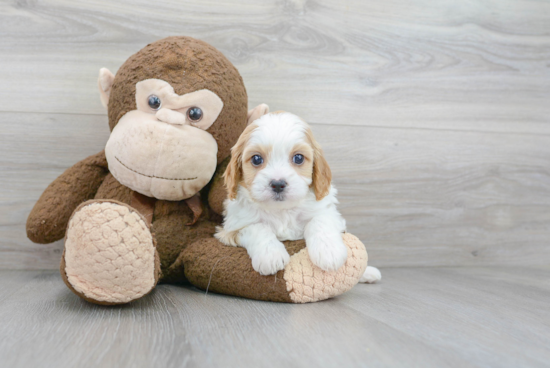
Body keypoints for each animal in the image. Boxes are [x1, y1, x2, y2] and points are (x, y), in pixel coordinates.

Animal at [217, 108, 384, 282]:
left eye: (298, 158)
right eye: (256, 159)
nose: (278, 184)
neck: (281, 210)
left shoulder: (327, 211)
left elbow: (319, 221)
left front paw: (329, 252)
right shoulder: (231, 228)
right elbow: (256, 227)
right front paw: (270, 255)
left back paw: (368, 272)